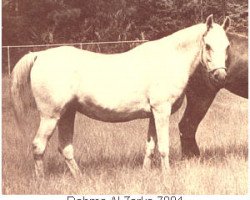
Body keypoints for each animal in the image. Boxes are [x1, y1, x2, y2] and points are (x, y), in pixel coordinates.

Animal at [11, 15, 230, 178]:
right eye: (208, 46)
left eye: (227, 46)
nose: (220, 76)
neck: (167, 60)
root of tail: (39, 55)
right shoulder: (161, 111)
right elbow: (163, 147)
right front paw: (167, 175)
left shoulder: (153, 115)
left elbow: (150, 146)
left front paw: (145, 173)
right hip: (50, 116)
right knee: (38, 146)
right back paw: (41, 180)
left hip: (67, 114)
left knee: (65, 148)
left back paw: (80, 178)